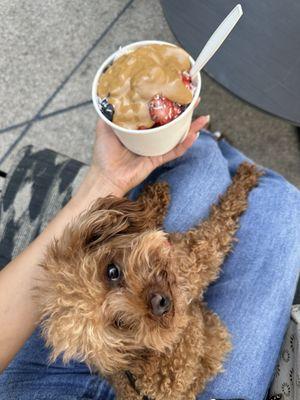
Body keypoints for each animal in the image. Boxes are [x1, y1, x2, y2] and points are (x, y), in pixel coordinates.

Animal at [37, 161, 262, 398]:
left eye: (112, 272)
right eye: (121, 323)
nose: (158, 303)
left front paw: (154, 196)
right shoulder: (198, 257)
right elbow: (223, 217)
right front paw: (246, 175)